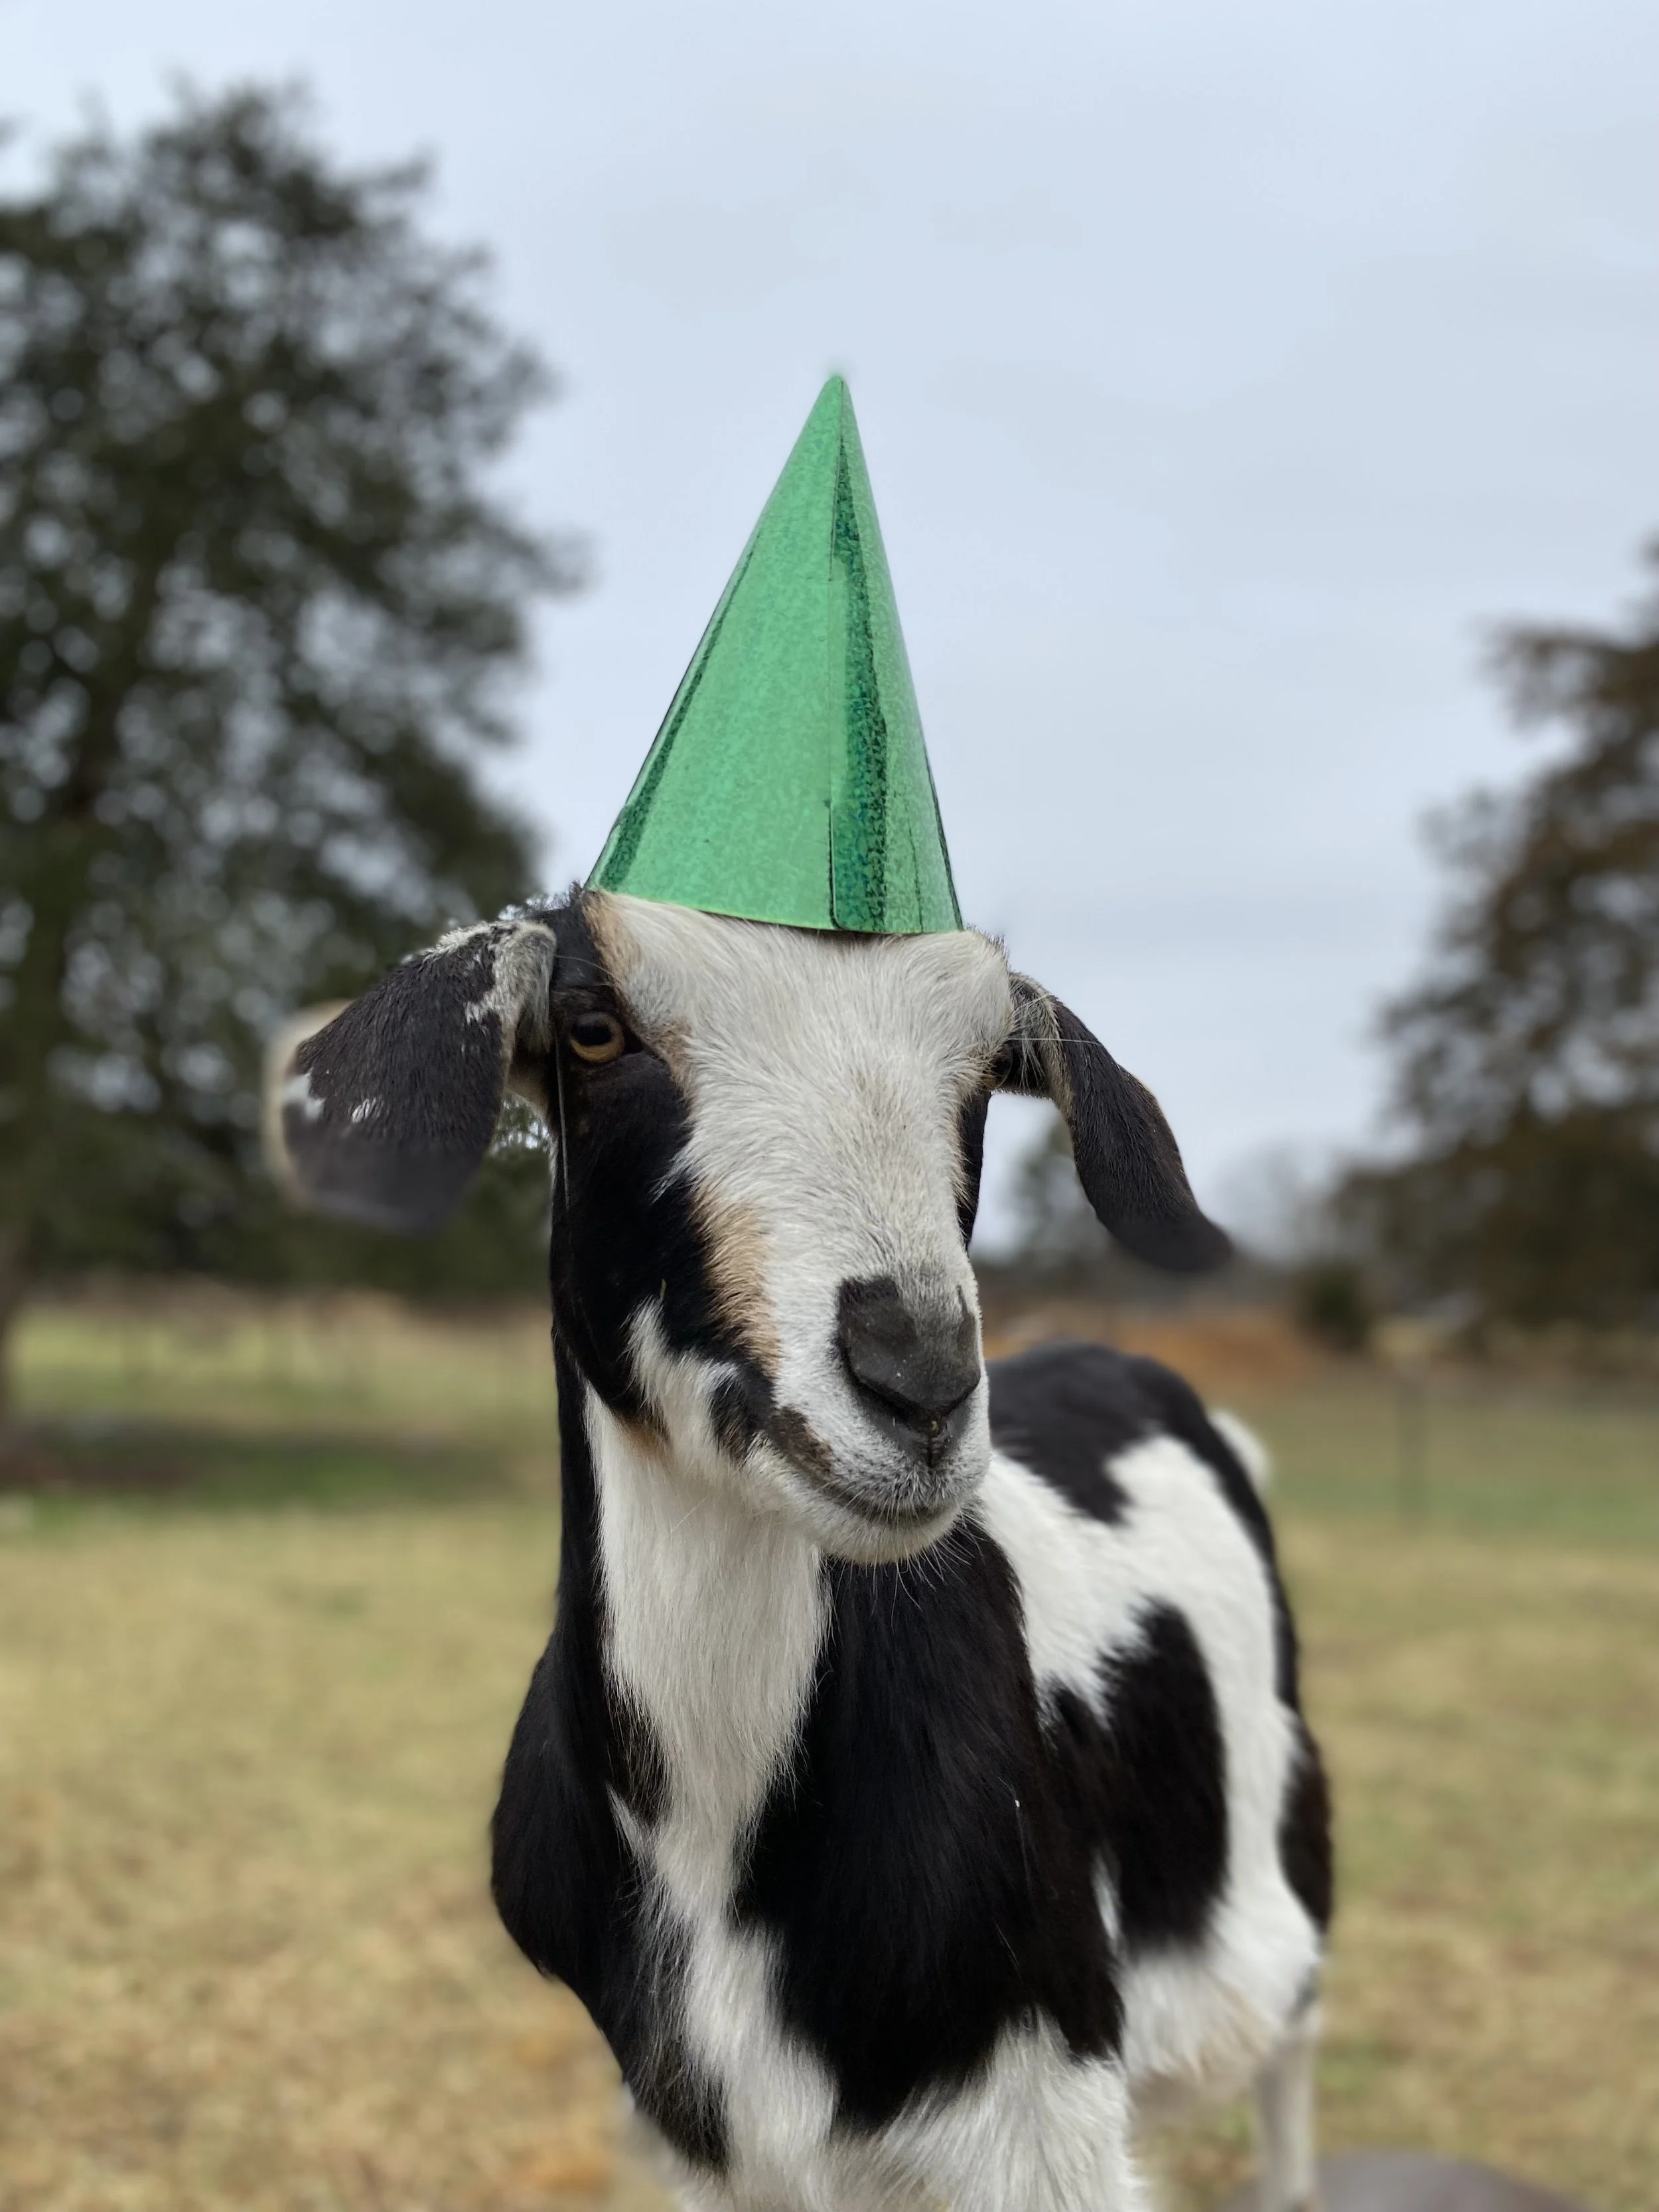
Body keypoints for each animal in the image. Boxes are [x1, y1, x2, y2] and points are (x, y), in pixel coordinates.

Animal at [274, 888, 1333, 2212]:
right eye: (593, 1028)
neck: (715, 1840)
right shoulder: (701, 2137)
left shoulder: (1045, 2120)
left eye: (991, 1061)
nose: (920, 1383)